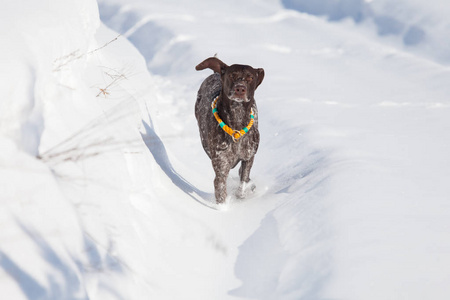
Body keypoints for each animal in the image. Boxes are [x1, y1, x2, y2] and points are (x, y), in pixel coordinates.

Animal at [194, 57, 264, 204]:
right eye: (232, 75)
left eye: (250, 77)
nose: (240, 88)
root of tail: (216, 73)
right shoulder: (221, 166)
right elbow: (221, 190)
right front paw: (223, 208)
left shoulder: (249, 156)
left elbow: (243, 181)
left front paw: (242, 193)